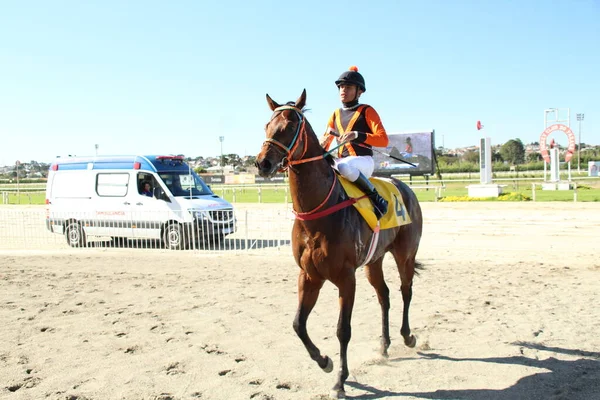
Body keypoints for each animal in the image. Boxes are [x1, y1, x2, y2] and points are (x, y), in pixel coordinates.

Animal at [255, 89, 424, 398]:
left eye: (289, 127)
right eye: (267, 126)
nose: (263, 163)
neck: (317, 213)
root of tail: (404, 186)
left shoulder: (346, 278)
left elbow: (342, 329)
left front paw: (340, 381)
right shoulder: (309, 275)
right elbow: (298, 324)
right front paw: (324, 362)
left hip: (405, 254)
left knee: (406, 291)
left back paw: (407, 336)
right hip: (374, 261)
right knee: (384, 295)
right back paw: (384, 345)